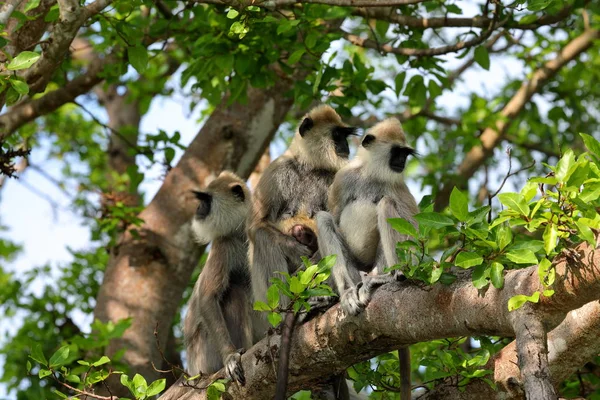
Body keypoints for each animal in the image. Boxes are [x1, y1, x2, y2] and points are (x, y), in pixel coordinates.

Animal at [316, 118, 420, 400]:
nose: (402, 162)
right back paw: (347, 291)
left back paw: (385, 279)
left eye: (405, 154)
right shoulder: (343, 179)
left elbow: (416, 232)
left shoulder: (397, 186)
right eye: (397, 153)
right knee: (323, 218)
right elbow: (333, 213)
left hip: (380, 262)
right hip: (353, 269)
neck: (372, 175)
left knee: (385, 204)